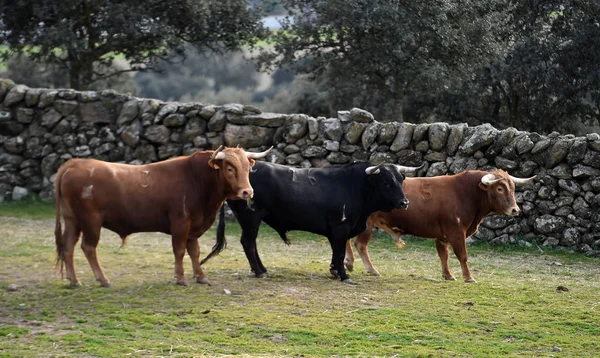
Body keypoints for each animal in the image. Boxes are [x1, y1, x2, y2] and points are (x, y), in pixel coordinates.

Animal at [54, 146, 270, 288]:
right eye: (230, 168)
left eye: (248, 168)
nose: (247, 192)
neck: (197, 179)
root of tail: (75, 163)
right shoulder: (180, 222)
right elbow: (179, 250)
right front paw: (181, 278)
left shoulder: (193, 226)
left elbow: (195, 252)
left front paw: (200, 276)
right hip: (91, 221)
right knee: (88, 247)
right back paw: (103, 279)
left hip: (73, 220)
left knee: (68, 245)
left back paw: (74, 280)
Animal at [204, 162, 420, 282]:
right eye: (386, 182)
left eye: (401, 180)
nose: (404, 202)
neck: (356, 186)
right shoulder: (340, 227)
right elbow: (339, 251)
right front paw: (344, 275)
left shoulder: (338, 231)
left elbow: (336, 251)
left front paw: (335, 271)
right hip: (250, 217)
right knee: (248, 242)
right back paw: (259, 271)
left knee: (251, 243)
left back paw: (262, 269)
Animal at [344, 169, 536, 284]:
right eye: (499, 188)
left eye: (512, 187)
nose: (515, 210)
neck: (465, 193)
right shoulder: (457, 232)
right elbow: (462, 256)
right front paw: (468, 277)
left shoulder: (442, 235)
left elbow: (443, 255)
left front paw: (448, 275)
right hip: (367, 225)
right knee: (360, 245)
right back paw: (371, 269)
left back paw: (349, 263)